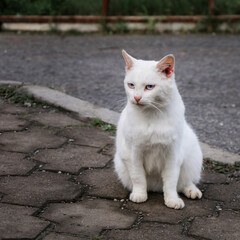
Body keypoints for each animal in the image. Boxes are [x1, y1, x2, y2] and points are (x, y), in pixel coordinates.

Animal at [114, 49, 202, 209]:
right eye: (131, 85)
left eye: (149, 87)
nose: (136, 98)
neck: (152, 115)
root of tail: (156, 188)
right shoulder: (133, 154)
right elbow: (138, 177)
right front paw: (140, 195)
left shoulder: (173, 154)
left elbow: (171, 181)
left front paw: (172, 200)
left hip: (193, 158)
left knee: (183, 182)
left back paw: (192, 191)